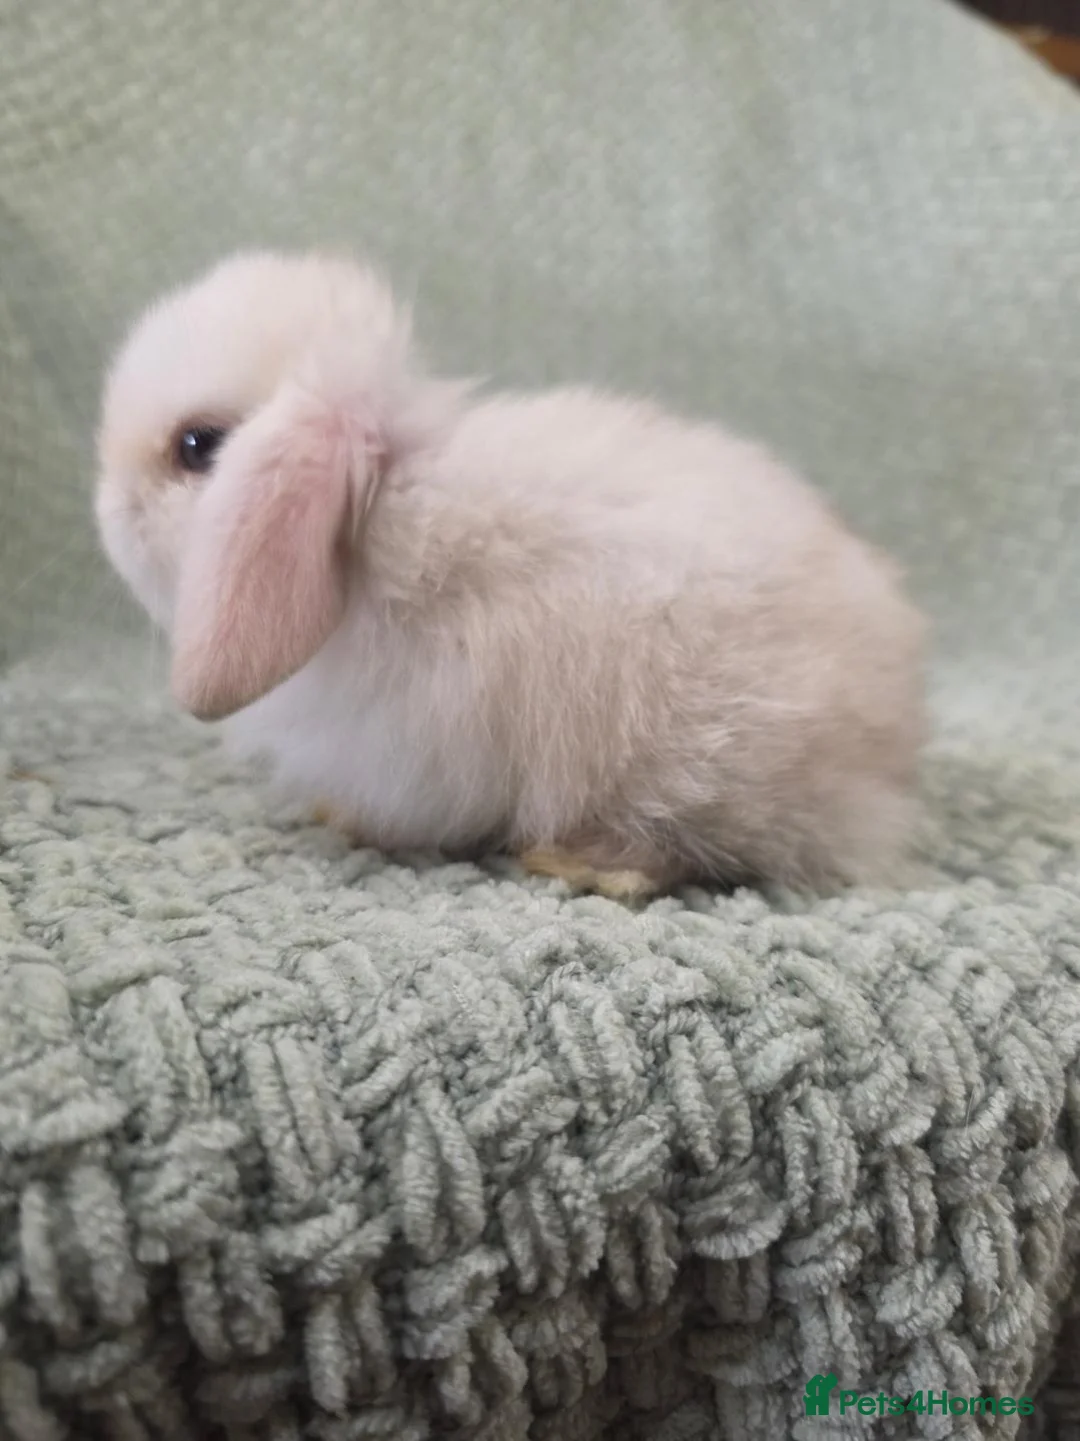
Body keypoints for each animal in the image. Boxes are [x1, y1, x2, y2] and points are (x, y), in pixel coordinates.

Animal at [95, 249, 927, 900]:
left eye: (198, 446)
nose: (104, 508)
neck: (377, 520)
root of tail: (885, 757)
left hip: (687, 762)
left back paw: (581, 862)